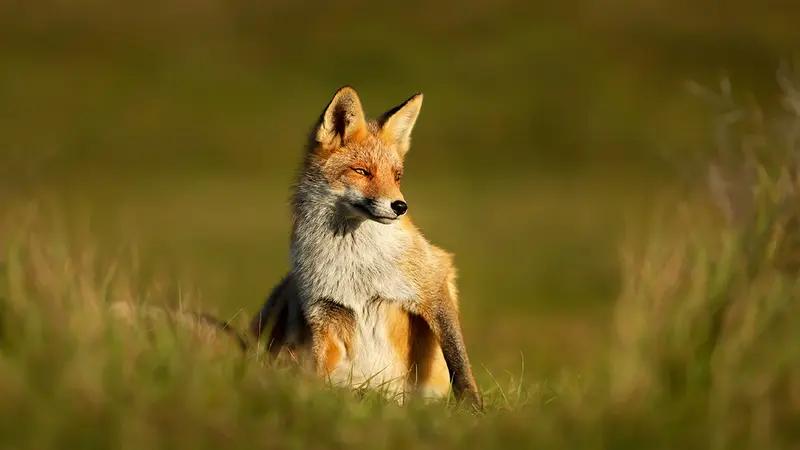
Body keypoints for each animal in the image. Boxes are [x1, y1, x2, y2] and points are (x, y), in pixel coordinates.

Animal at [248, 86, 483, 410]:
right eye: (361, 171)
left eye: (397, 176)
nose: (400, 206)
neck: (355, 265)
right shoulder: (323, 312)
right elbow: (318, 370)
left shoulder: (432, 281)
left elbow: (458, 359)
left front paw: (473, 407)